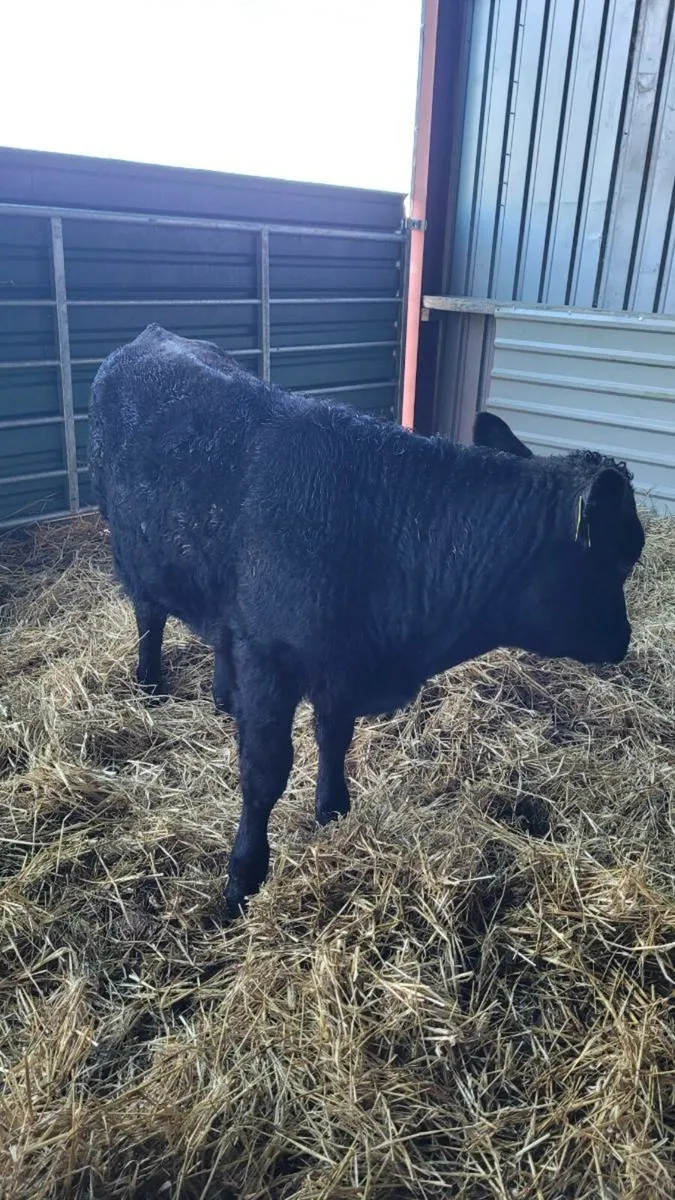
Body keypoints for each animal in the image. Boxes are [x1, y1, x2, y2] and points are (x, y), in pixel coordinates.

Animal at [88, 325, 645, 915]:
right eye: (623, 556)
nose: (623, 639)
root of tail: (150, 337)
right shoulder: (270, 657)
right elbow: (265, 773)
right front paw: (243, 877)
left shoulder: (339, 666)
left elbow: (335, 738)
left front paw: (333, 812)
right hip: (132, 548)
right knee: (149, 615)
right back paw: (150, 684)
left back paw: (222, 696)